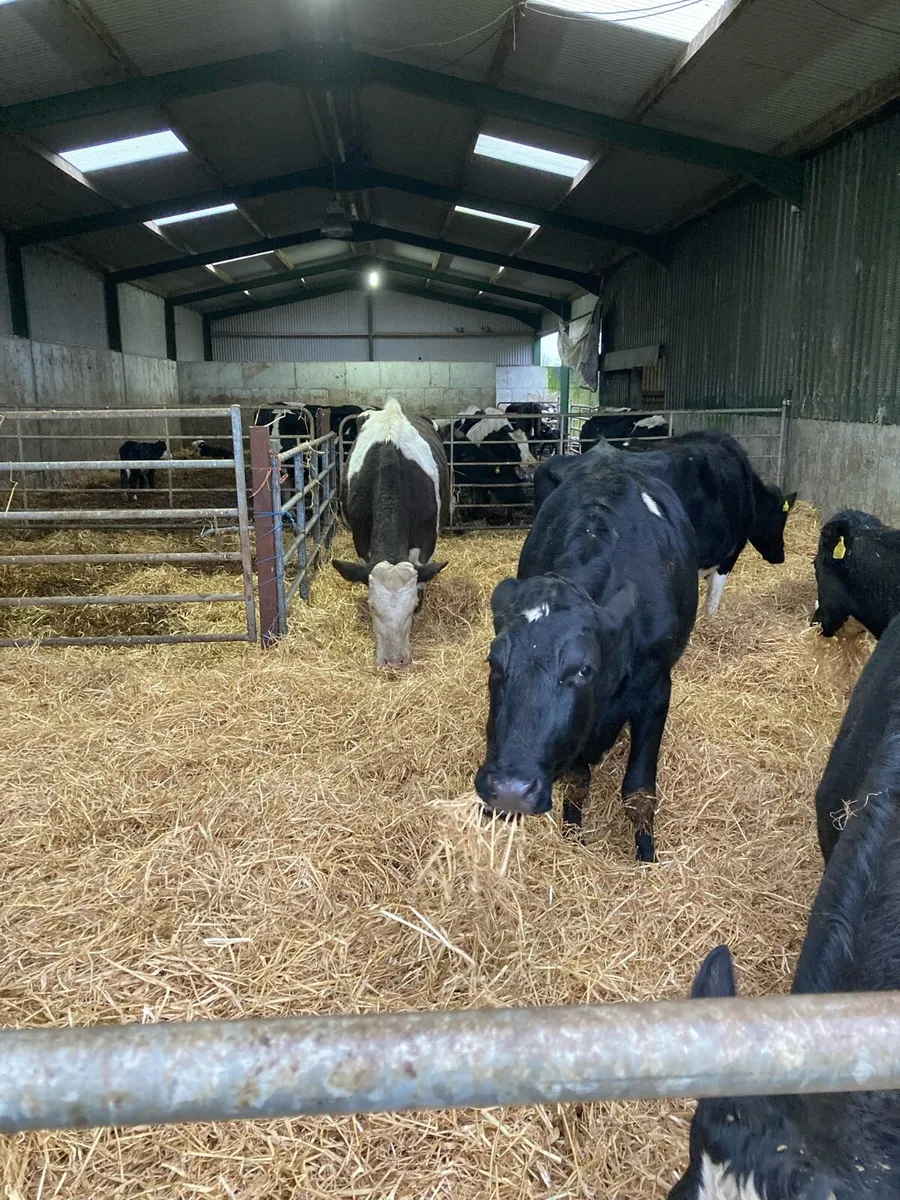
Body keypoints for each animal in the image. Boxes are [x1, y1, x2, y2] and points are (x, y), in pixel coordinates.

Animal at [474, 448, 698, 861]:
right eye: (495, 663)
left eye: (583, 670)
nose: (511, 791)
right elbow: (578, 781)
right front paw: (572, 835)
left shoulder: (657, 689)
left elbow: (639, 791)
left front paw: (646, 856)